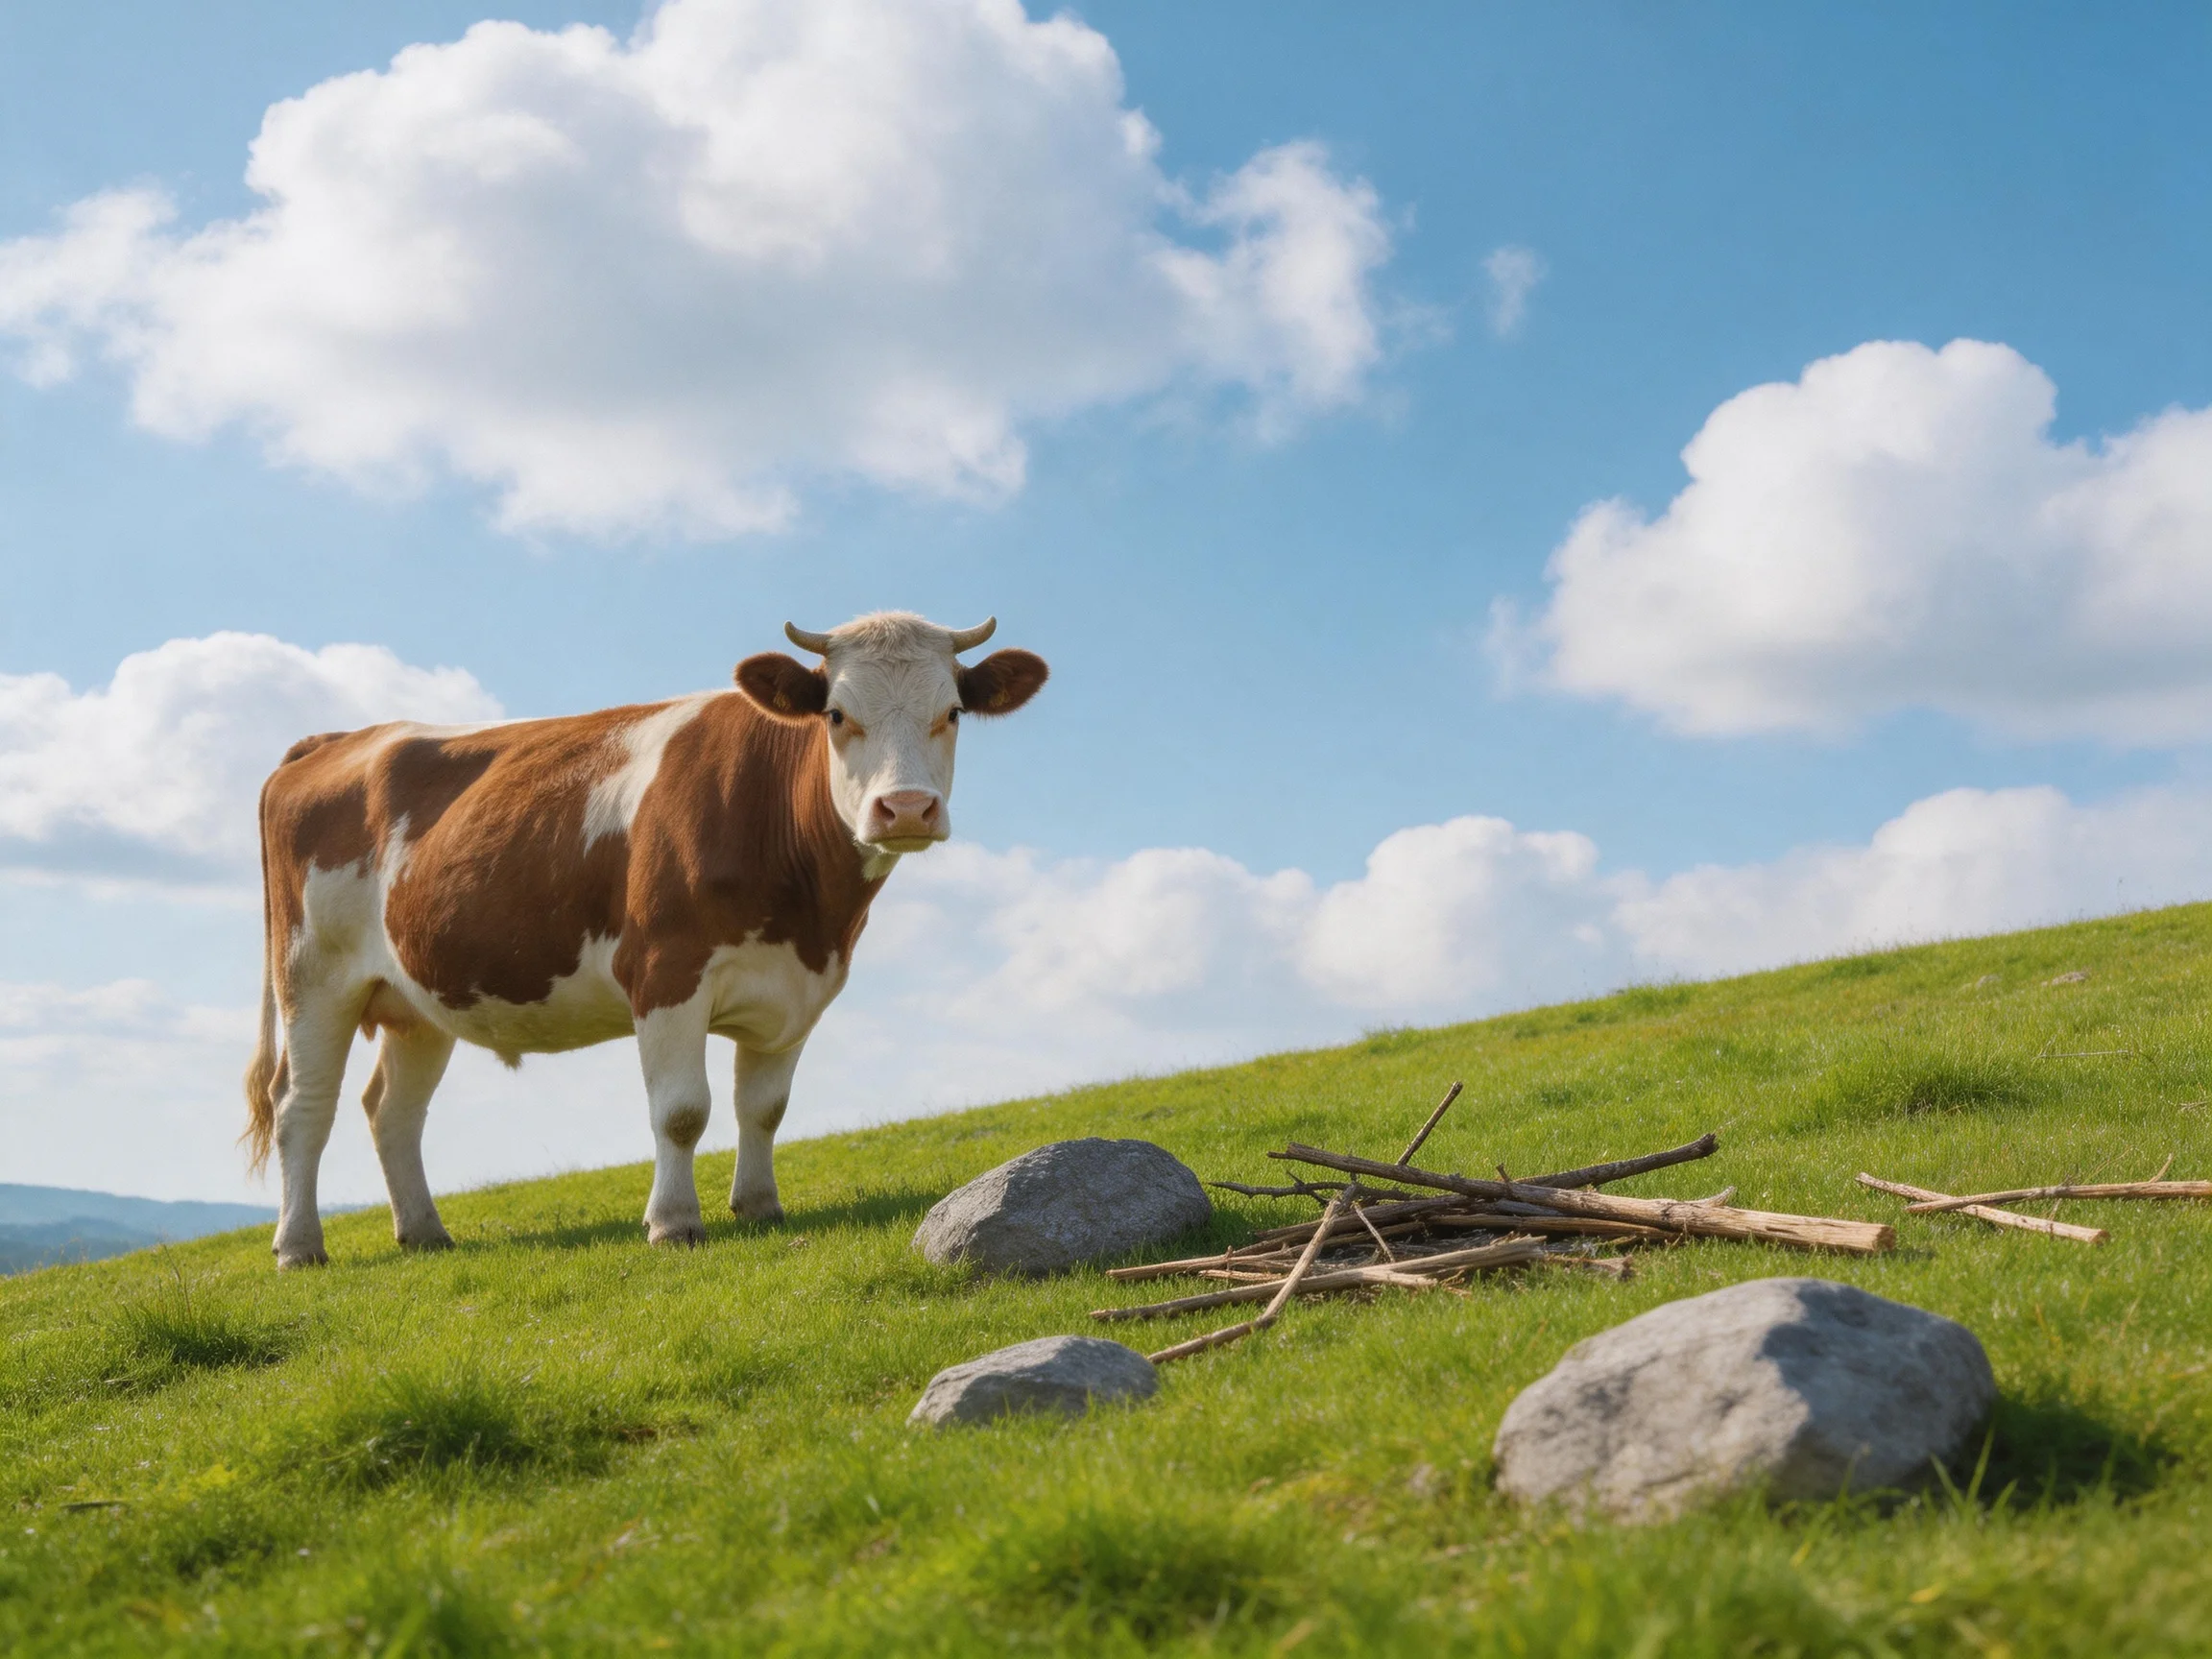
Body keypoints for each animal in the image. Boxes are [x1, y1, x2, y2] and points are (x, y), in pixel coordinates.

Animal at [242, 611, 1048, 1268]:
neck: (808, 910)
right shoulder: (665, 971)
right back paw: (299, 1247)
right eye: (837, 714)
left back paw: (424, 1233)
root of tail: (338, 738)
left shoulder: (799, 987)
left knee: (392, 1110)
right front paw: (674, 1224)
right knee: (302, 1108)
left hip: (417, 999)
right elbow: (682, 1110)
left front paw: (760, 1207)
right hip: (312, 979)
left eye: (952, 711)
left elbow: (765, 1108)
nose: (905, 808)